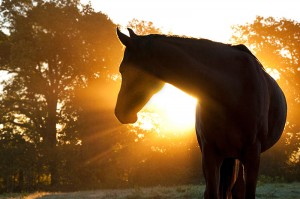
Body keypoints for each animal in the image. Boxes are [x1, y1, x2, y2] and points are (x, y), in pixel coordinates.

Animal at [114, 28, 286, 199]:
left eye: (123, 69)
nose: (119, 112)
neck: (233, 91)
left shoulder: (252, 155)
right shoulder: (209, 153)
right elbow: (211, 193)